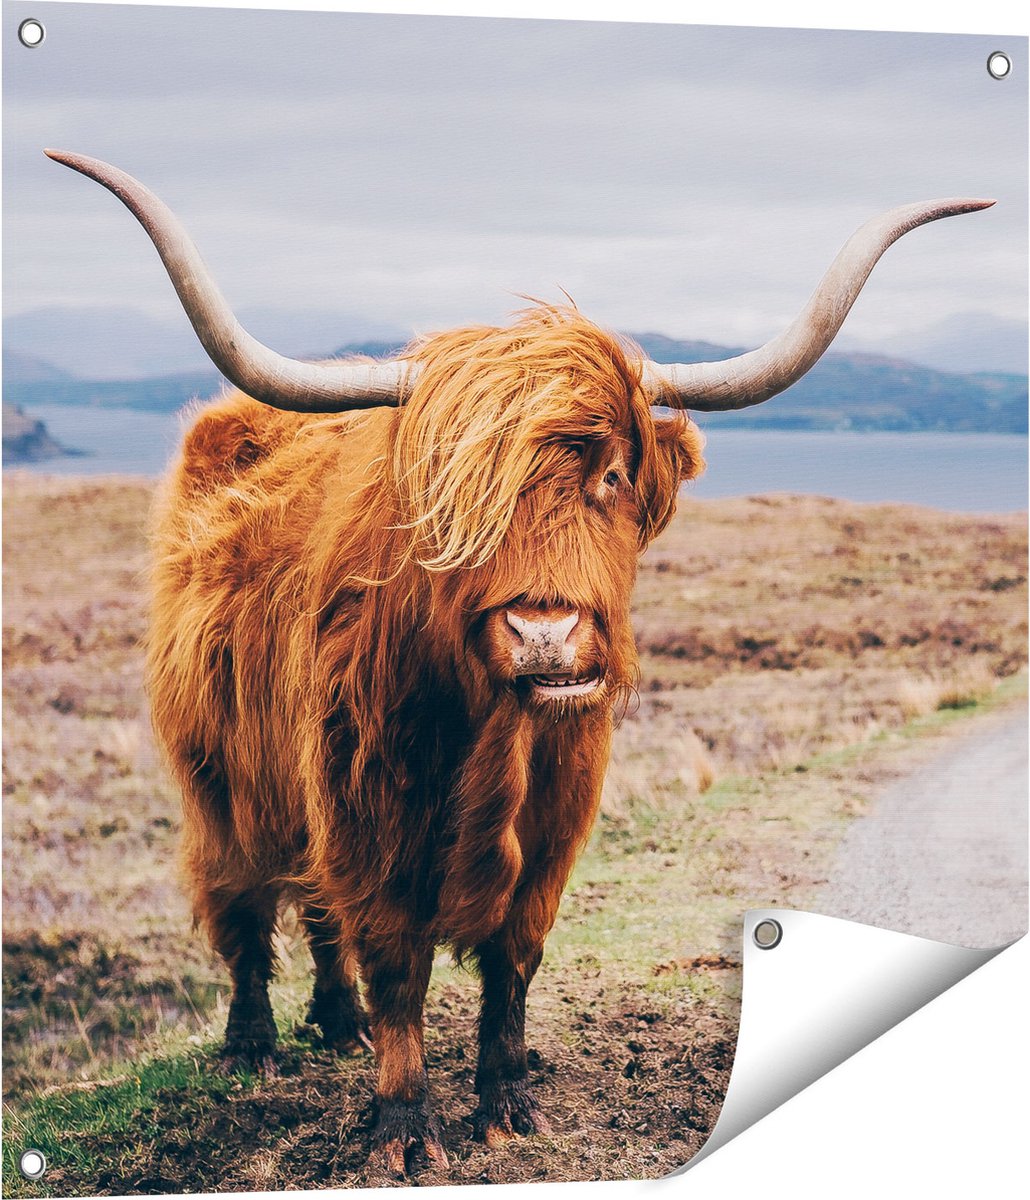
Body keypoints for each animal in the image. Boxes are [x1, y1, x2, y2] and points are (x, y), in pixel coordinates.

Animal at [46, 150, 991, 1173]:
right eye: (456, 496)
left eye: (612, 472)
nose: (546, 634)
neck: (492, 736)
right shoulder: (368, 812)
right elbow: (398, 967)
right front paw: (403, 1127)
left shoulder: (552, 827)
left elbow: (511, 965)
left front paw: (506, 1104)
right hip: (218, 774)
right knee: (246, 905)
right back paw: (255, 1044)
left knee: (317, 913)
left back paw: (335, 1024)